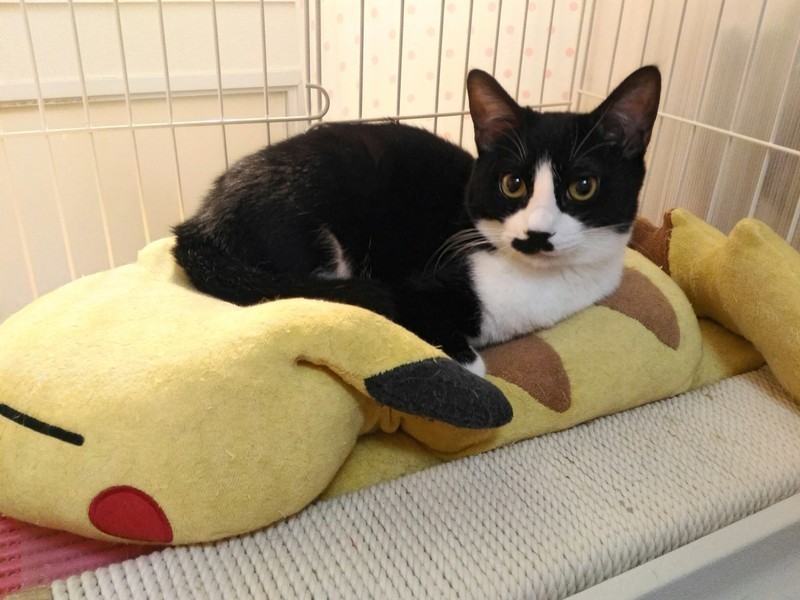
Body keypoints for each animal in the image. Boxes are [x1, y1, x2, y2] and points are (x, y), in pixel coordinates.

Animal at [172, 66, 661, 376]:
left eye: (583, 186)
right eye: (513, 184)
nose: (536, 233)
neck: (538, 283)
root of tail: (198, 224)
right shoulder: (417, 285)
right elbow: (470, 364)